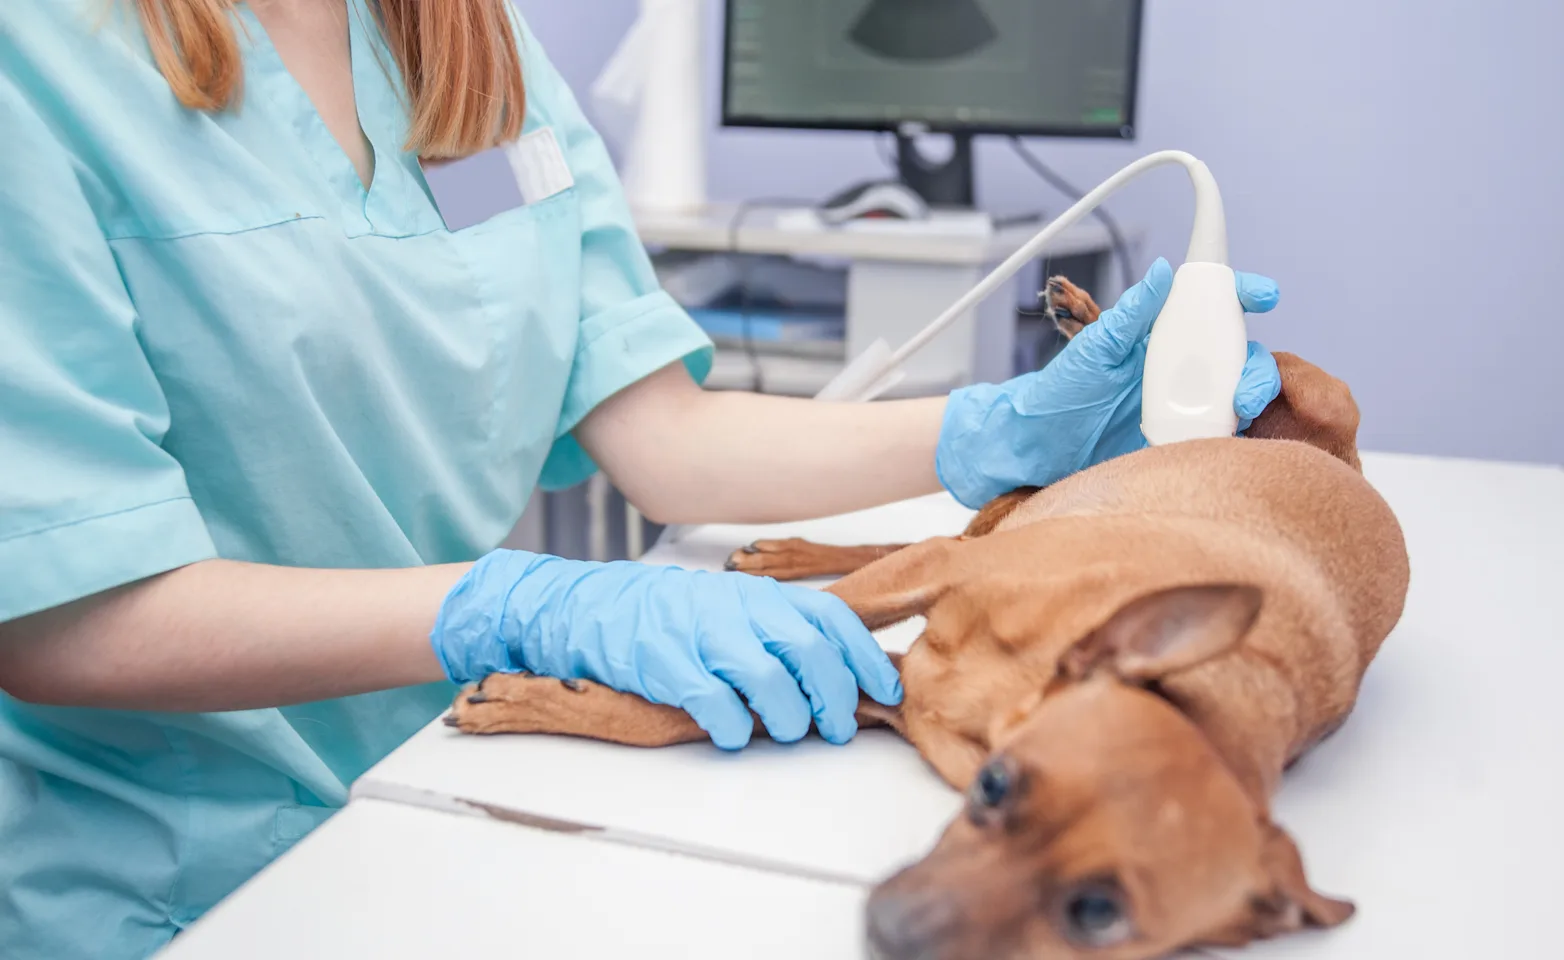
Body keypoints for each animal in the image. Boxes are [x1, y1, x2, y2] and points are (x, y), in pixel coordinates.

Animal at [447, 278, 1413, 960]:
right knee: (1254, 348)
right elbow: (761, 641)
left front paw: (550, 694)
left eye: (1097, 915)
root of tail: (1344, 463)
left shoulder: (870, 688)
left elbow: (681, 711)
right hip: (1303, 396)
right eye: (998, 790)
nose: (895, 933)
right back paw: (1102, 325)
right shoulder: (930, 591)